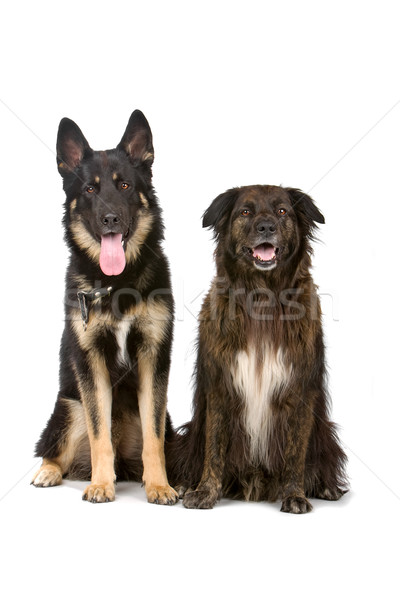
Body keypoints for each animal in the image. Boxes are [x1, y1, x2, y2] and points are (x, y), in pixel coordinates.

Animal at [32, 110, 179, 504]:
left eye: (125, 186)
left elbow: (153, 439)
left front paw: (159, 485)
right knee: (53, 450)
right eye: (90, 190)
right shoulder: (91, 364)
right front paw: (101, 484)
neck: (117, 282)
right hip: (69, 408)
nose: (110, 218)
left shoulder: (153, 360)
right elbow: (100, 434)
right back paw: (48, 472)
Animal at [170, 185, 348, 512]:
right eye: (245, 212)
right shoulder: (220, 388)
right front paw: (205, 491)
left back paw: (327, 487)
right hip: (193, 429)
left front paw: (294, 494)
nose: (266, 227)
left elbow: (295, 454)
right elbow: (214, 449)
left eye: (282, 211)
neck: (262, 295)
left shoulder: (300, 390)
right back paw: (185, 483)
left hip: (325, 432)